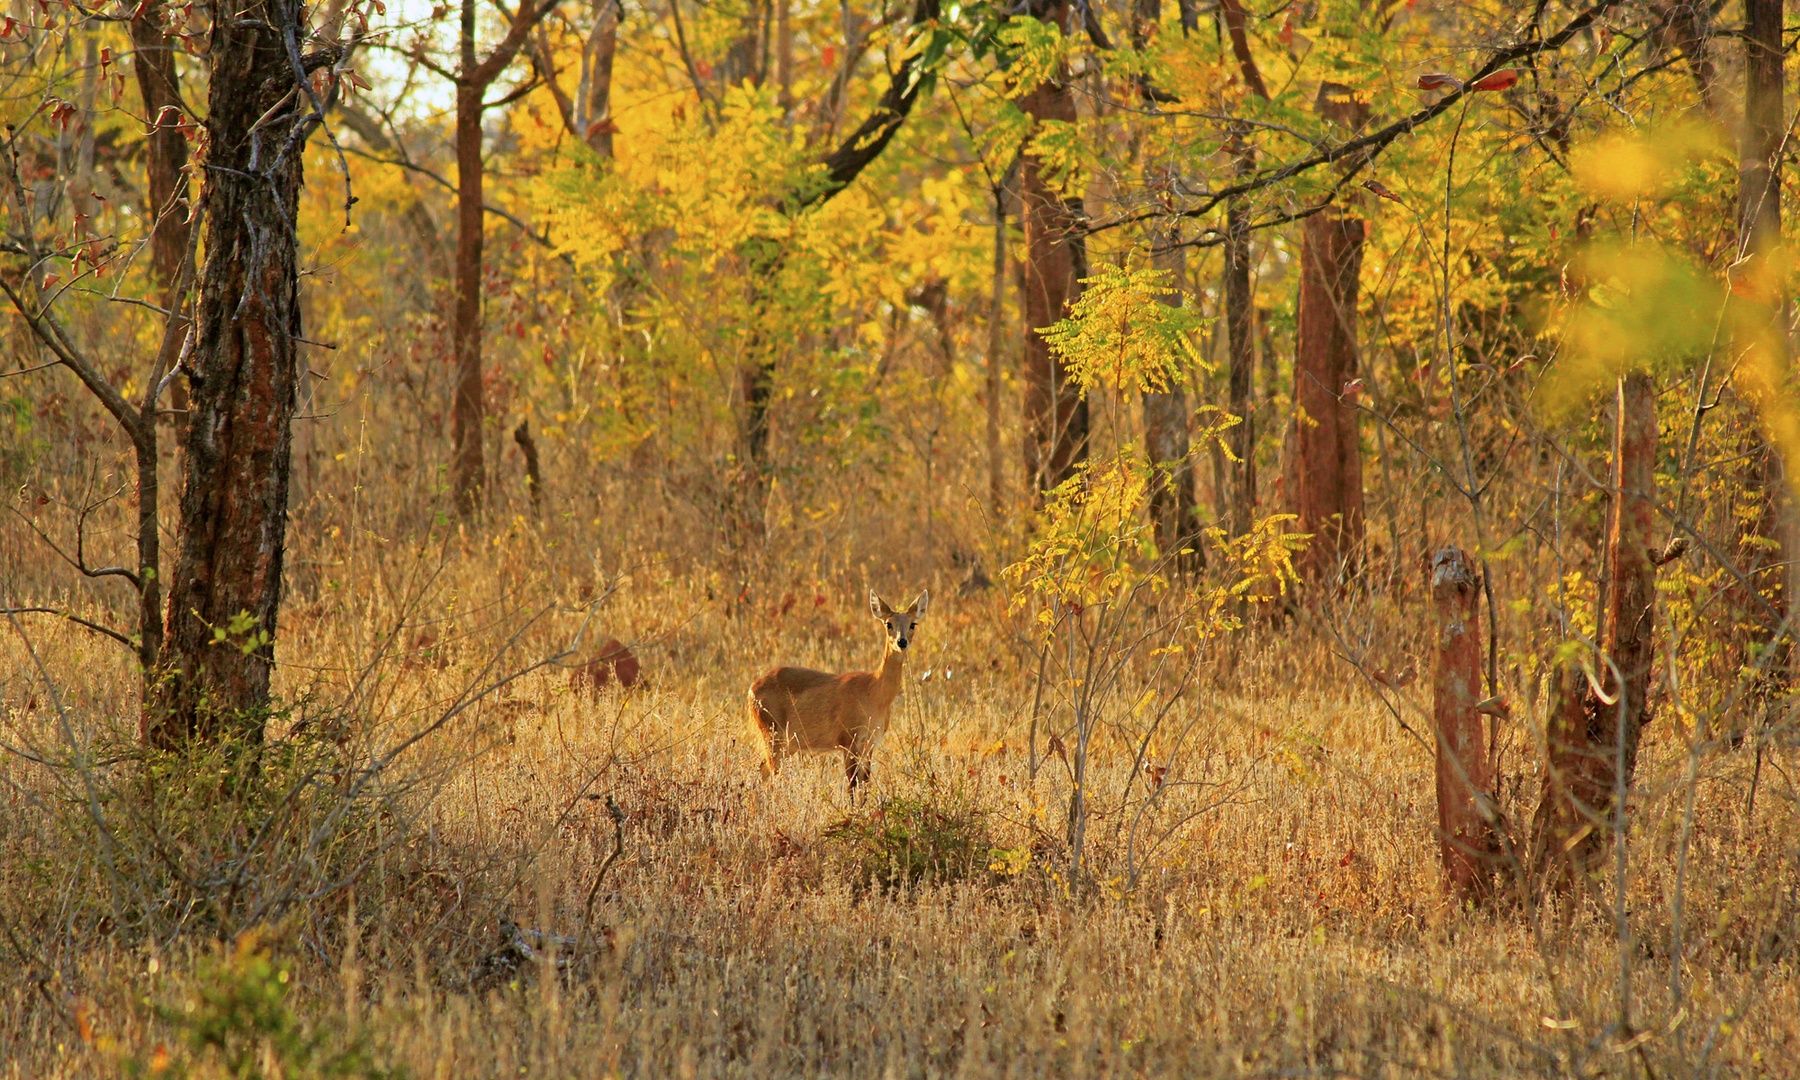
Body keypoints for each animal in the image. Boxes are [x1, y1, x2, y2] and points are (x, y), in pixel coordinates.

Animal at [747, 589, 929, 794]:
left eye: (913, 623)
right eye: (888, 623)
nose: (902, 641)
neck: (874, 693)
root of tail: (751, 688)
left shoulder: (869, 744)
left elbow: (864, 786)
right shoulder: (848, 740)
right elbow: (852, 786)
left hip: (787, 743)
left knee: (761, 772)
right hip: (772, 734)